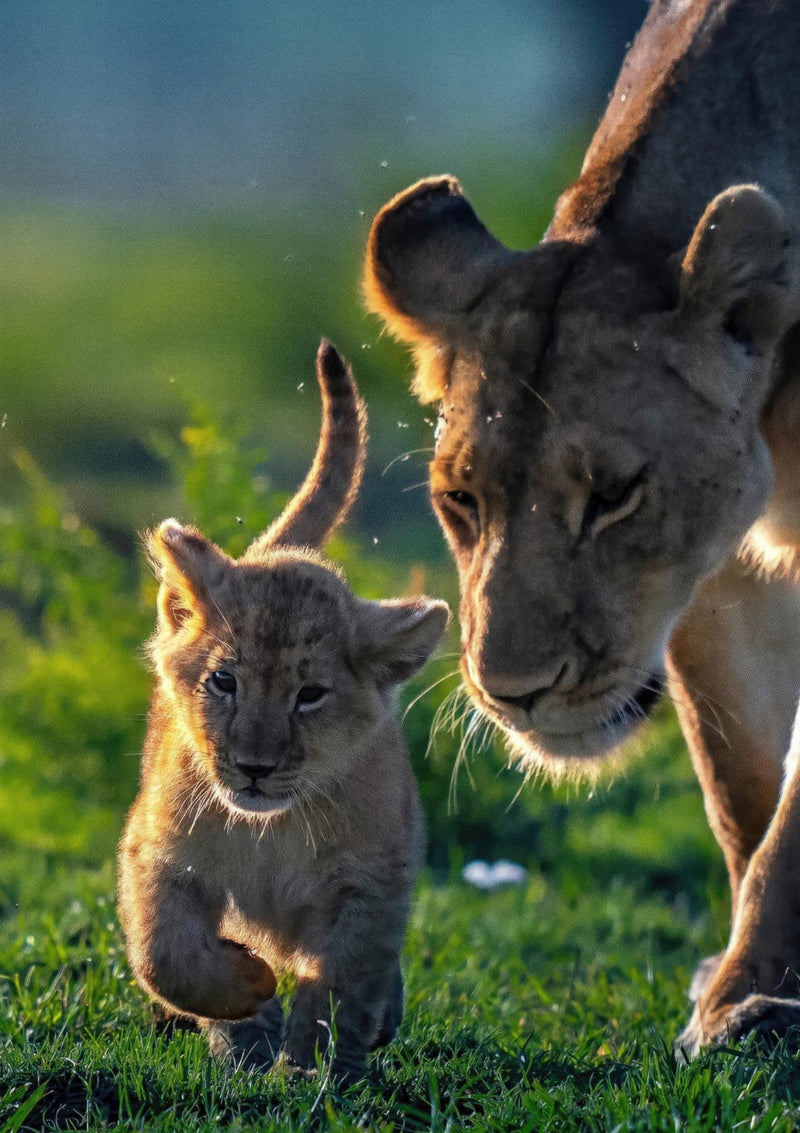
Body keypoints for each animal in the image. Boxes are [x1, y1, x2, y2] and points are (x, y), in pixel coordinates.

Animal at [117, 341, 448, 1080]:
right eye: (224, 681)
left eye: (310, 695)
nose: (254, 768)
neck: (272, 829)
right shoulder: (161, 854)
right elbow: (164, 954)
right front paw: (250, 991)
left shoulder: (369, 882)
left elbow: (343, 981)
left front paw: (314, 1069)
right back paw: (244, 1042)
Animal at [363, 0, 800, 1055]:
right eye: (461, 501)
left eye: (614, 494)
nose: (515, 694)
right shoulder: (713, 582)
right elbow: (744, 790)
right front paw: (742, 983)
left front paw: (748, 1010)